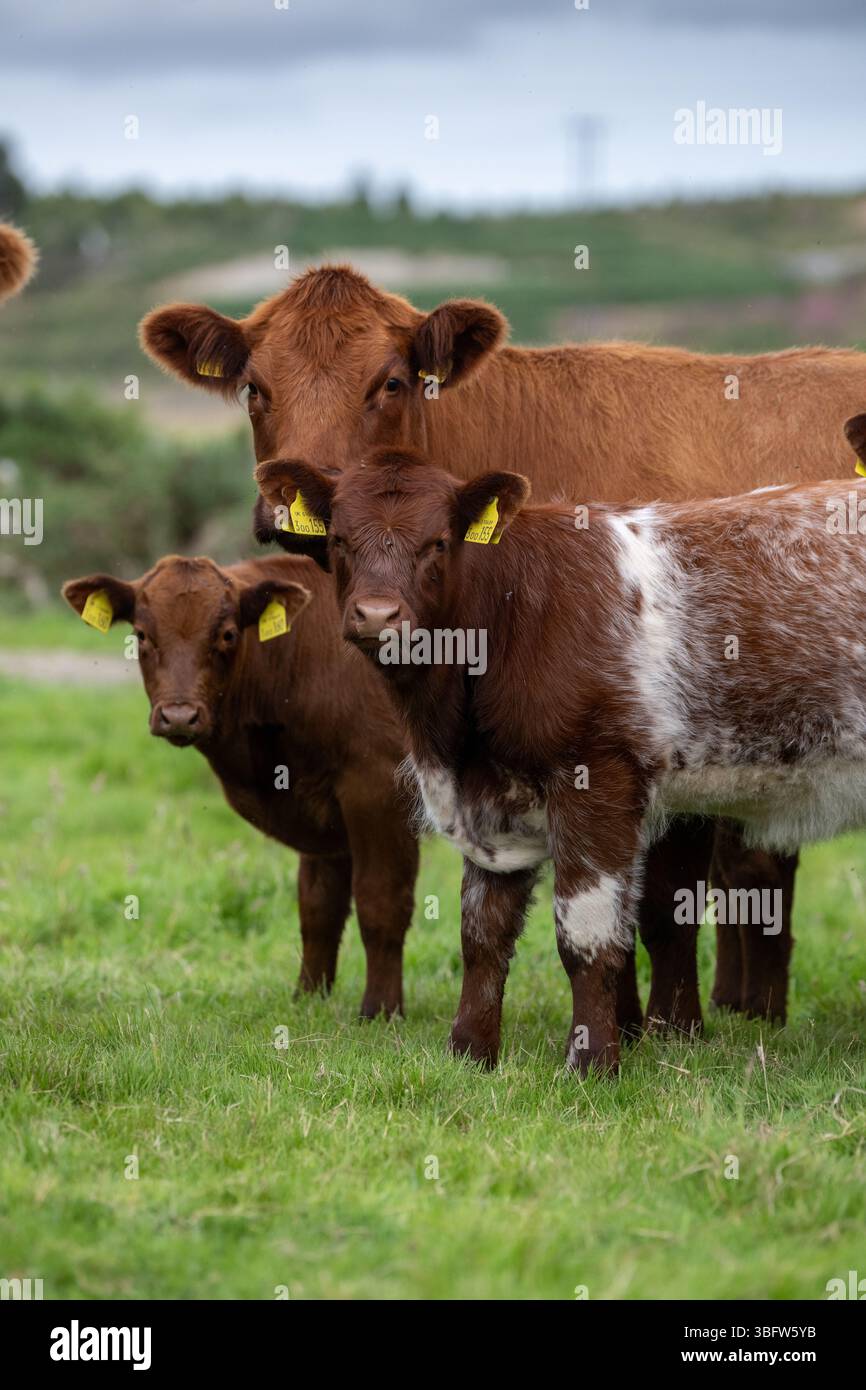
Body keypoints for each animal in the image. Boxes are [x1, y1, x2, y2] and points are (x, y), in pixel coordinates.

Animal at [62, 552, 418, 1019]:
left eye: (228, 634)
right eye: (141, 634)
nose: (179, 715)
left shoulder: (378, 784)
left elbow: (381, 902)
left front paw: (380, 1011)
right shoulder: (324, 807)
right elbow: (318, 907)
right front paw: (307, 997)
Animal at [253, 429, 866, 1074]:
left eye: (438, 542)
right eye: (339, 540)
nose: (377, 616)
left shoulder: (597, 776)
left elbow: (587, 936)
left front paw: (592, 1061)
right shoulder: (491, 801)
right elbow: (483, 933)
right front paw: (469, 1051)